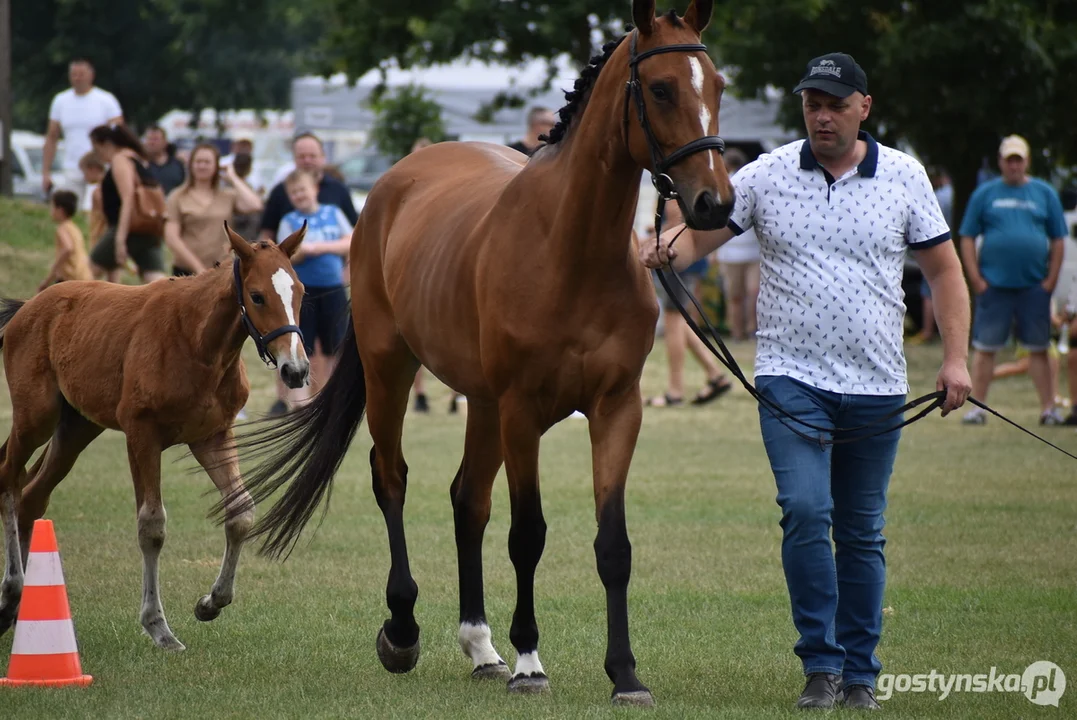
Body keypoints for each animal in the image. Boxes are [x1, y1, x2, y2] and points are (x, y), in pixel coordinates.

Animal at [1, 226, 312, 650]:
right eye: (257, 295)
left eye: (301, 291)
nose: (296, 370)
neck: (197, 343)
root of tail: (28, 307)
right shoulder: (141, 435)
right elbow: (152, 525)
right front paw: (158, 626)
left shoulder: (212, 436)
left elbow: (241, 512)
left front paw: (211, 602)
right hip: (35, 419)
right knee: (10, 482)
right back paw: (12, 590)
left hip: (76, 429)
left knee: (33, 496)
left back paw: (22, 610)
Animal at [225, 0, 732, 701]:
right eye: (660, 89)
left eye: (718, 88)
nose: (715, 201)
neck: (572, 251)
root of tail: (393, 181)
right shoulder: (522, 412)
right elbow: (528, 535)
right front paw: (530, 662)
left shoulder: (616, 408)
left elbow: (612, 544)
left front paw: (625, 673)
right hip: (393, 372)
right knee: (392, 478)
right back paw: (405, 630)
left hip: (483, 404)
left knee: (468, 500)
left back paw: (480, 645)